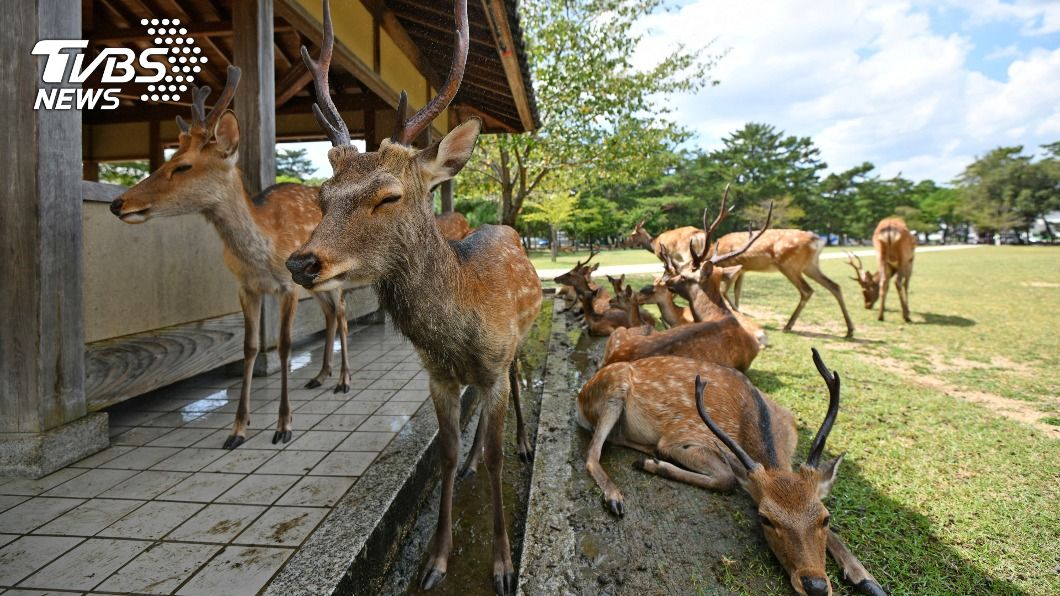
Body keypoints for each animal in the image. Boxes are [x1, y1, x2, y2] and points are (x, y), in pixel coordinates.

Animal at [108, 65, 352, 450]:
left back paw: (343, 381)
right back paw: (321, 375)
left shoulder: (287, 287)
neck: (262, 252)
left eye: (183, 166)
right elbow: (249, 347)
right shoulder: (245, 287)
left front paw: (284, 425)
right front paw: (238, 429)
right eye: (169, 159)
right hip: (314, 284)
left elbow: (284, 346)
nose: (118, 203)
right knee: (329, 313)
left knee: (342, 313)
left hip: (332, 275)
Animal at [284, 2, 540, 593]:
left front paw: (501, 564)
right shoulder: (439, 376)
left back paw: (523, 441)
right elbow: (445, 452)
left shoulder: (494, 362)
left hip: (519, 342)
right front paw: (435, 559)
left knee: (519, 382)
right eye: (323, 196)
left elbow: (497, 457)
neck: (458, 330)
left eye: (389, 196)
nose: (301, 262)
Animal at [576, 348, 887, 596]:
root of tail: (581, 396)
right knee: (593, 454)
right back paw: (617, 494)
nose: (816, 586)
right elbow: (726, 479)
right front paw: (654, 464)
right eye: (765, 519)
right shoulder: (679, 437)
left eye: (825, 517)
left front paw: (868, 579)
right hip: (613, 390)